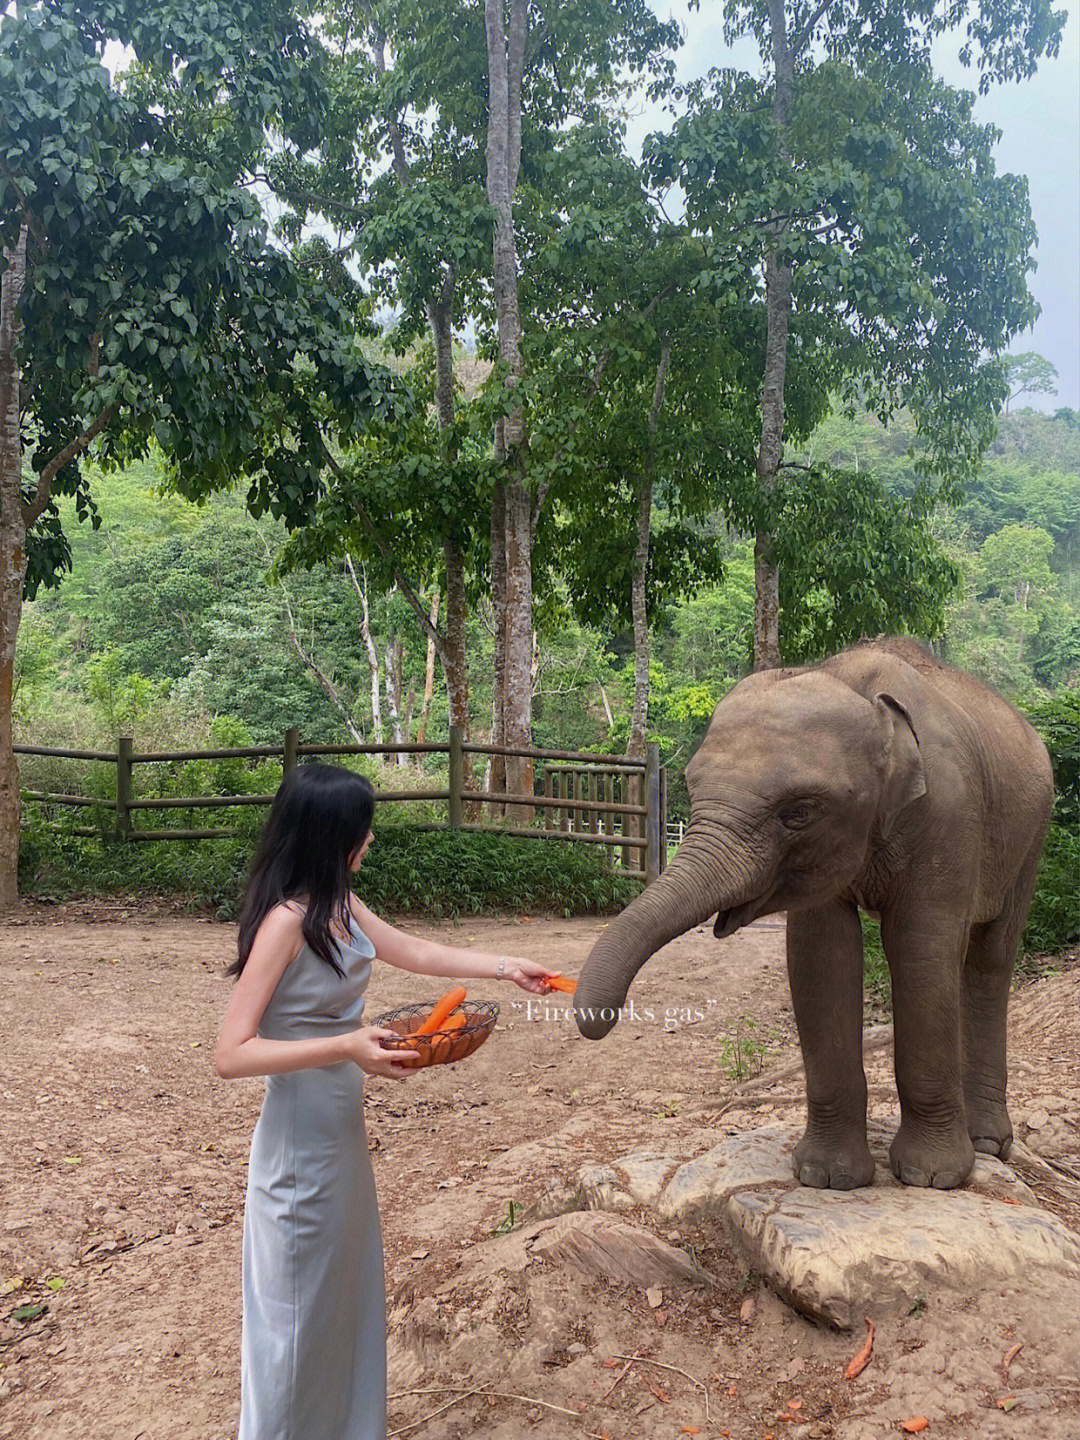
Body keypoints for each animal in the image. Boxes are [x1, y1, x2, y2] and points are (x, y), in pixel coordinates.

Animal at [578, 642, 1054, 1192]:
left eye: (799, 812)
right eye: (692, 790)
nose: (601, 1018)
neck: (864, 694)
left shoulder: (950, 815)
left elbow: (920, 945)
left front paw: (930, 1177)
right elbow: (820, 953)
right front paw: (826, 1178)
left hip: (1032, 833)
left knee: (990, 960)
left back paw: (989, 1146)